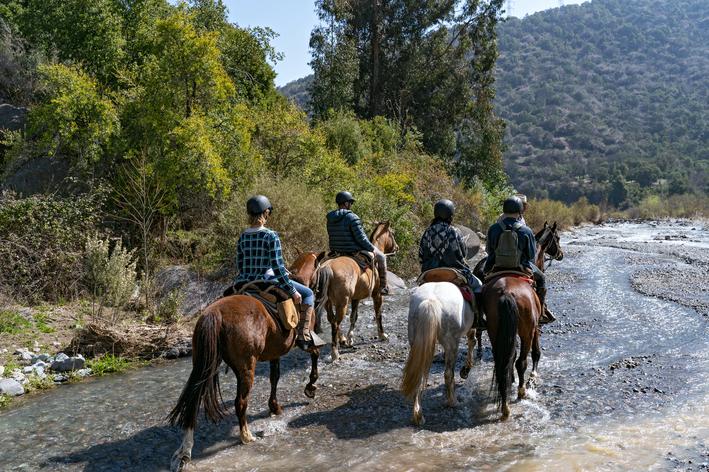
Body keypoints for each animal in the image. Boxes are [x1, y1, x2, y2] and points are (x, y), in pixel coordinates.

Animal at [168, 294, 320, 471]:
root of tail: (215, 313)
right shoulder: (302, 342)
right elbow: (314, 353)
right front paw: (311, 387)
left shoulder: (275, 352)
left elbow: (274, 377)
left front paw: (274, 406)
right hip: (246, 367)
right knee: (240, 402)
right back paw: (247, 436)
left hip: (204, 364)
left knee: (193, 401)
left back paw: (184, 452)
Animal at [314, 221, 398, 361]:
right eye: (391, 233)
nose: (396, 248)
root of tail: (328, 267)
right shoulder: (377, 295)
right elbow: (378, 314)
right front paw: (382, 335)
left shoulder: (356, 298)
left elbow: (354, 316)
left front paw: (350, 339)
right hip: (342, 304)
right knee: (335, 323)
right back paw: (335, 352)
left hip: (328, 303)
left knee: (332, 320)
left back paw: (342, 340)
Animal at [400, 282, 477, 426]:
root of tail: (431, 300)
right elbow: (472, 341)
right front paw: (466, 369)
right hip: (452, 342)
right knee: (448, 373)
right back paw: (452, 401)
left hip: (415, 341)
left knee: (419, 374)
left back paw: (418, 415)